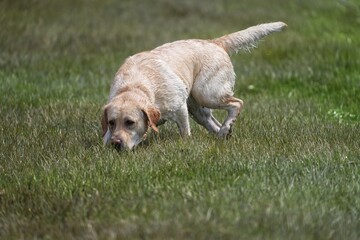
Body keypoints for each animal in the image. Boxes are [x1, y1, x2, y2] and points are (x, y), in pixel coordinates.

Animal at [101, 22, 286, 150]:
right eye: (111, 122)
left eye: (130, 122)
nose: (116, 144)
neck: (135, 85)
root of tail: (215, 42)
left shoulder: (180, 108)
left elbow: (185, 132)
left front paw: (185, 145)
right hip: (198, 109)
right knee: (214, 124)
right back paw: (223, 133)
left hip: (206, 94)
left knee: (237, 103)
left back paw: (226, 128)